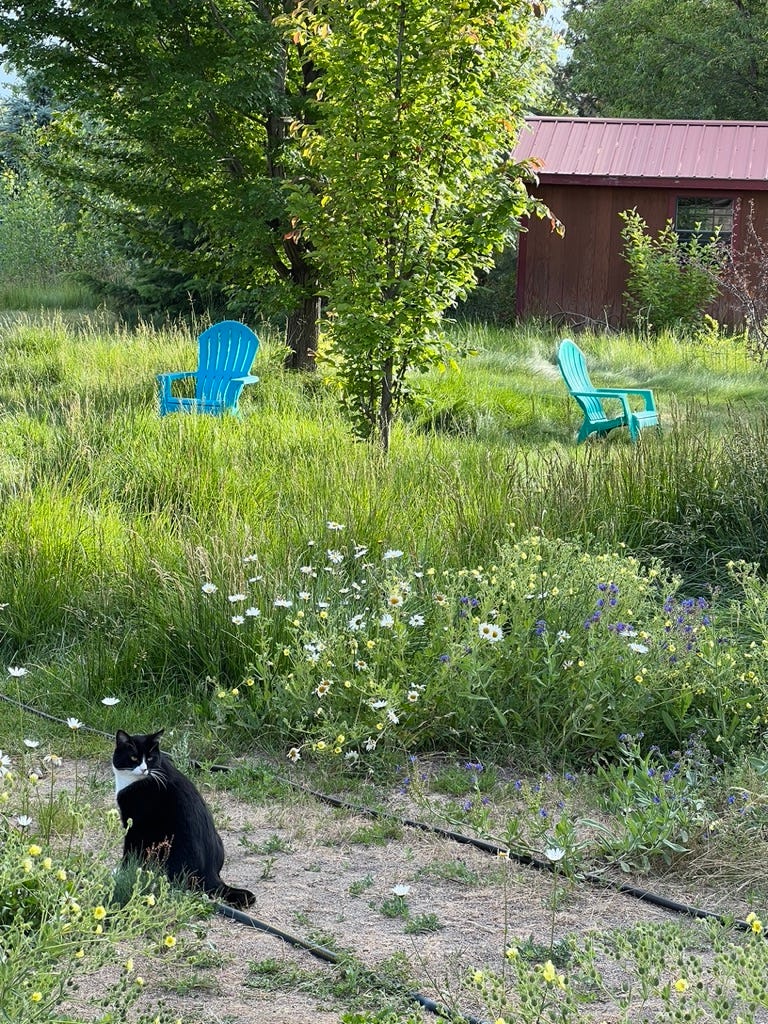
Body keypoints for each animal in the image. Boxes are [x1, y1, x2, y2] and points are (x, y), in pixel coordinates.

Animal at [112, 729, 256, 913]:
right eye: (133, 758)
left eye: (150, 758)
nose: (144, 769)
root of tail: (211, 876)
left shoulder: (134, 825)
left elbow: (129, 852)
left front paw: (121, 872)